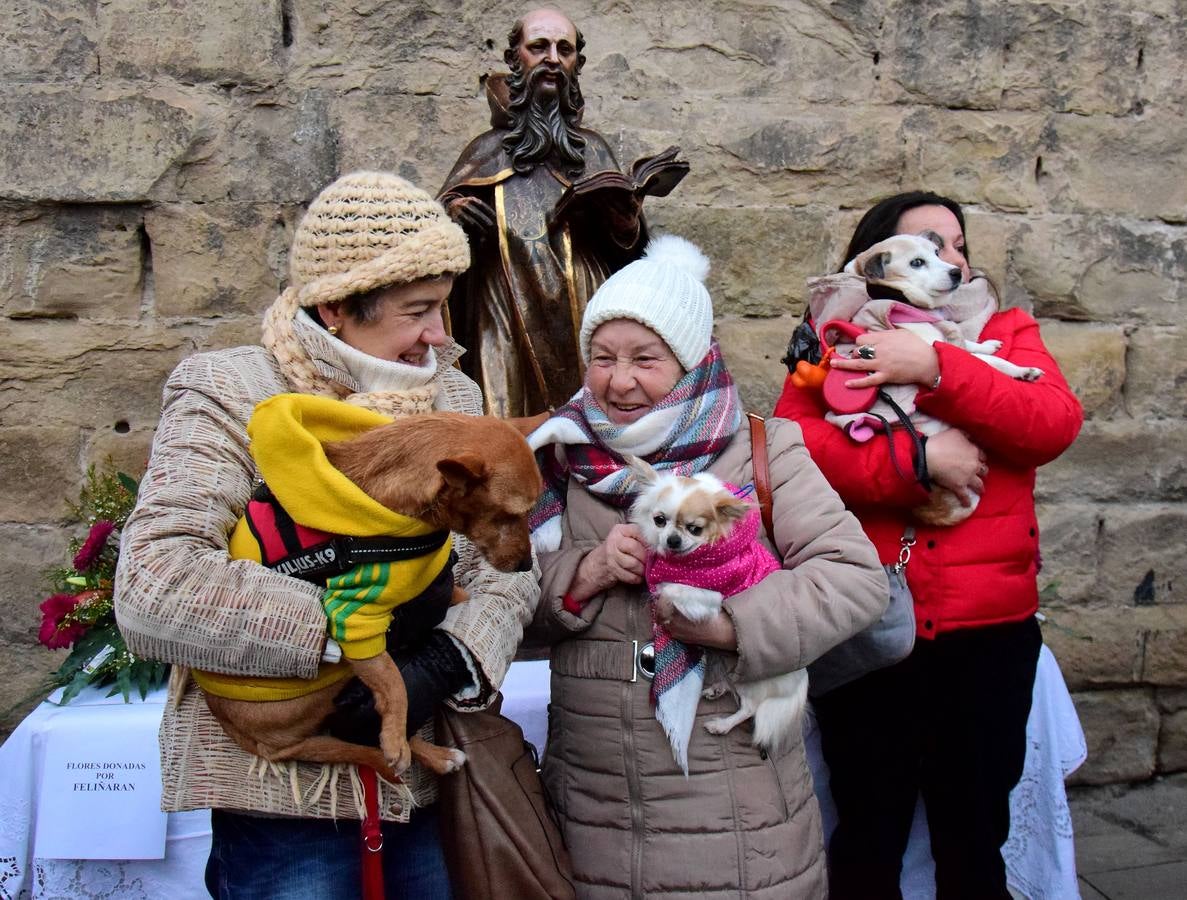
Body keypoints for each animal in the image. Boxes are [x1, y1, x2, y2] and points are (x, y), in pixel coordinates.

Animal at [199, 413, 543, 788]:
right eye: (507, 515)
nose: (526, 565)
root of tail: (240, 732)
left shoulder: (432, 586)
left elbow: (458, 595)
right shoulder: (354, 619)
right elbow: (393, 680)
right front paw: (393, 737)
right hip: (328, 680)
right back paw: (422, 752)